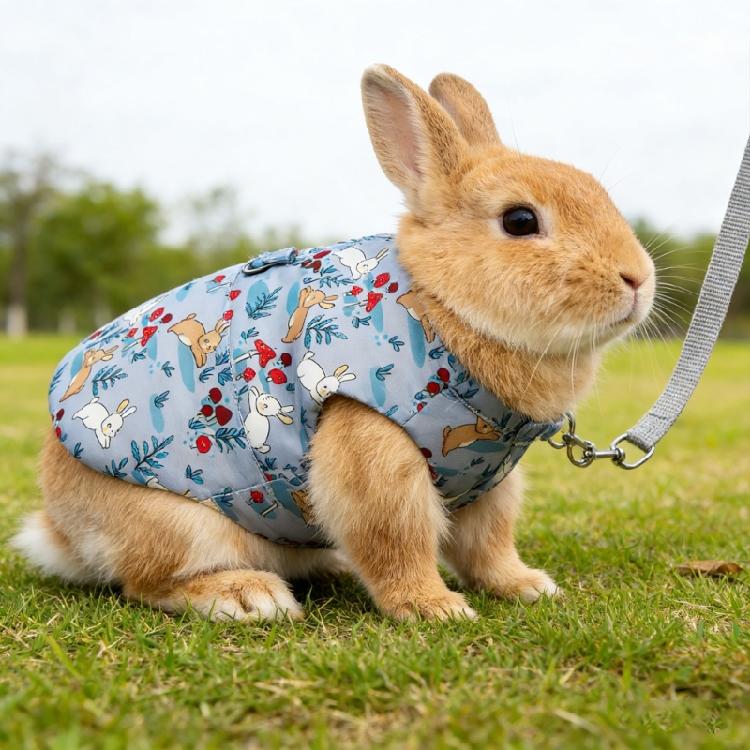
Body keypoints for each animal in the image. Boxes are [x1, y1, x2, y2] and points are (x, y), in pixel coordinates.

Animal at [16, 66, 654, 623]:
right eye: (520, 221)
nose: (638, 278)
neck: (440, 303)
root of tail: (61, 530)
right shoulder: (376, 453)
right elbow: (395, 541)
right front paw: (434, 608)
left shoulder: (487, 482)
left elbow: (488, 546)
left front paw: (526, 587)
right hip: (184, 526)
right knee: (146, 582)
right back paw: (248, 597)